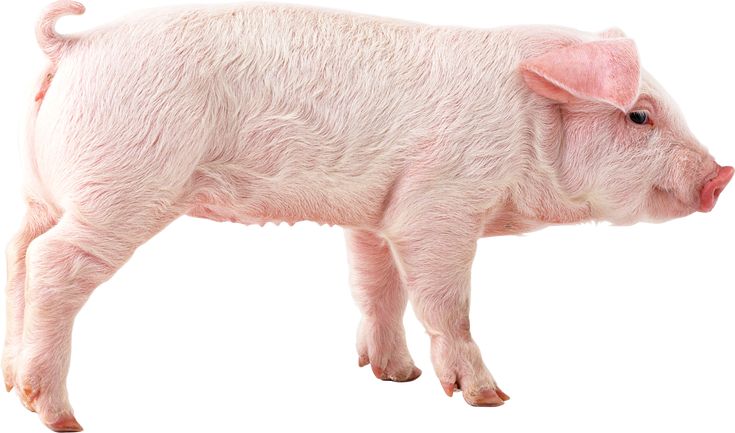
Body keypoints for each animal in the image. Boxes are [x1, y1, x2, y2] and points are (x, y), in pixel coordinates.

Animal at [2, 1, 732, 430]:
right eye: (638, 116)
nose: (720, 175)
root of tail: (74, 46)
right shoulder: (438, 204)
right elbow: (444, 302)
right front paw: (490, 399)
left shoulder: (379, 212)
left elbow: (377, 288)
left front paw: (395, 377)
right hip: (123, 182)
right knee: (53, 262)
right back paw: (61, 416)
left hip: (43, 191)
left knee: (18, 254)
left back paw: (12, 386)